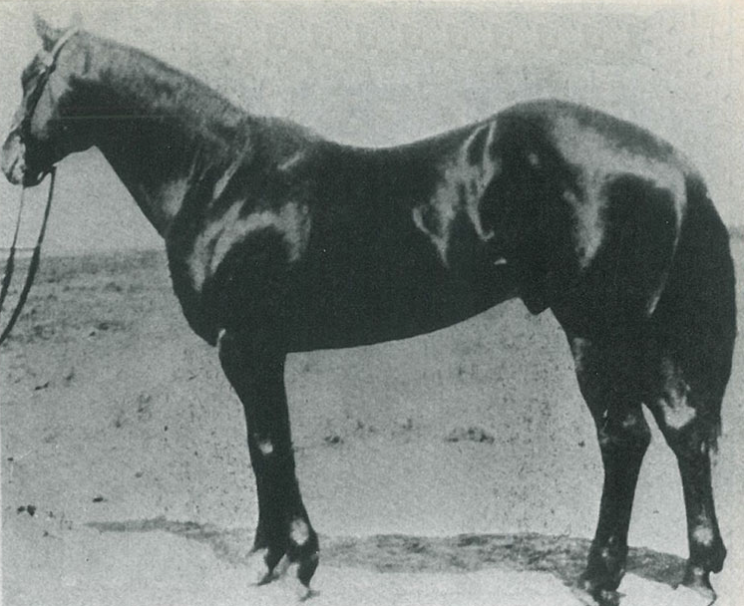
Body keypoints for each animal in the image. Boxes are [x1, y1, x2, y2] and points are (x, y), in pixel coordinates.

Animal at [2, 17, 736, 604]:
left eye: (34, 76)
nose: (14, 163)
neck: (222, 178)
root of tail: (673, 162)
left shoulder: (247, 343)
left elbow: (267, 445)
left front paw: (291, 560)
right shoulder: (259, 349)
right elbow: (265, 443)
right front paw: (271, 556)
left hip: (597, 331)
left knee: (625, 437)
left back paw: (600, 576)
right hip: (645, 333)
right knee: (684, 429)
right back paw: (697, 572)